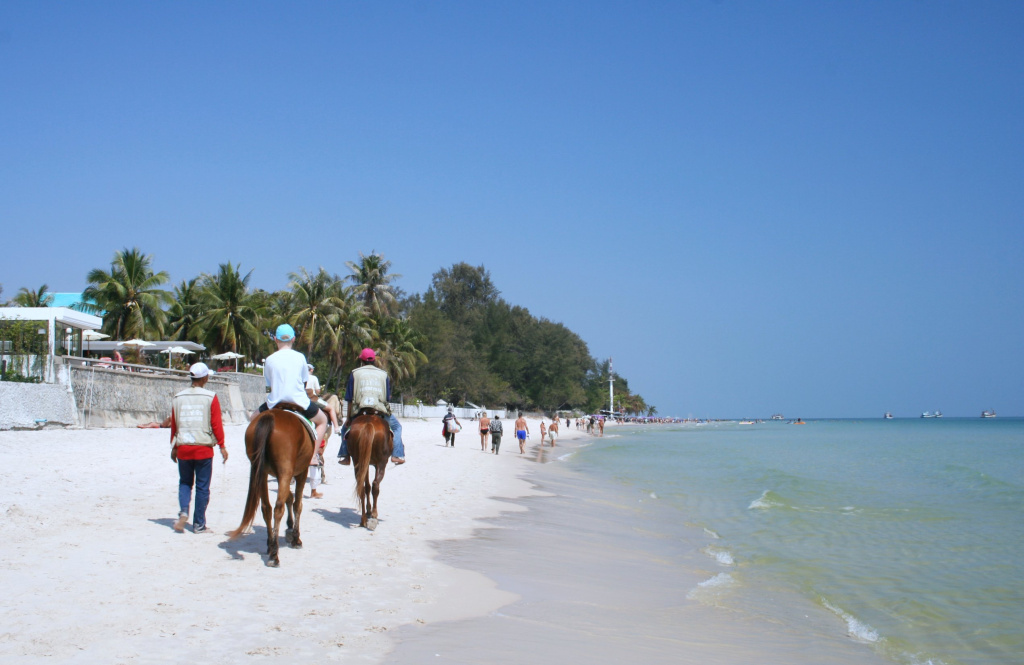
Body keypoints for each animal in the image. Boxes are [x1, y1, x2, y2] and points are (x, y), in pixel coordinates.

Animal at [230, 403, 313, 565]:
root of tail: (271, 416)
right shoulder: (302, 472)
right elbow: (297, 505)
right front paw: (295, 538)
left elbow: (289, 498)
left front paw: (289, 529)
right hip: (285, 471)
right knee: (278, 508)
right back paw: (274, 554)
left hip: (260, 472)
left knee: (266, 508)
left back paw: (270, 545)